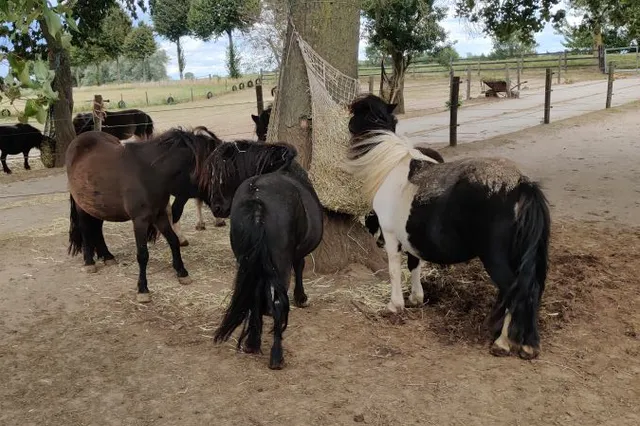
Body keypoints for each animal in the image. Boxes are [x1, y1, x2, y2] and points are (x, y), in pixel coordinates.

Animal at [66, 127, 219, 303]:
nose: (221, 209)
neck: (151, 173)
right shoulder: (140, 220)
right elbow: (143, 254)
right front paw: (143, 289)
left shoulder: (159, 215)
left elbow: (173, 241)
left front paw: (182, 272)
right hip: (82, 206)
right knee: (85, 229)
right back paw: (89, 262)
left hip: (100, 206)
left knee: (97, 228)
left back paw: (107, 256)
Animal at [201, 140, 324, 369]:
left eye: (224, 174)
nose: (216, 208)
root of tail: (257, 198)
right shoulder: (294, 256)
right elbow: (300, 267)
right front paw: (301, 297)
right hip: (280, 264)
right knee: (277, 302)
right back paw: (276, 356)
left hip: (247, 261)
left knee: (254, 294)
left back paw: (252, 342)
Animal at [344, 94, 551, 360]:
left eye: (355, 115)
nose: (347, 127)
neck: (393, 167)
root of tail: (522, 186)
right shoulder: (410, 236)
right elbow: (414, 264)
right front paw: (416, 298)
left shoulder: (391, 236)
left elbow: (393, 270)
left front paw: (394, 305)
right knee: (531, 288)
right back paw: (528, 344)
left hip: (496, 259)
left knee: (515, 291)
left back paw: (503, 342)